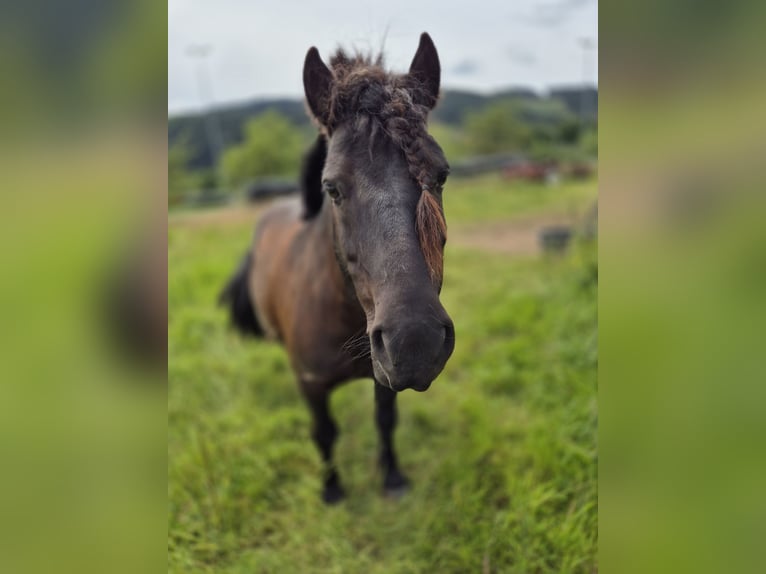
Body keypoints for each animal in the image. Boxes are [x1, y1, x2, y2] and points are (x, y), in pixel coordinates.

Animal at [219, 33, 452, 506]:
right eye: (332, 188)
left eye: (441, 175)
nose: (415, 342)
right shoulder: (311, 384)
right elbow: (324, 432)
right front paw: (331, 489)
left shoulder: (383, 378)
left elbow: (385, 421)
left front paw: (392, 478)